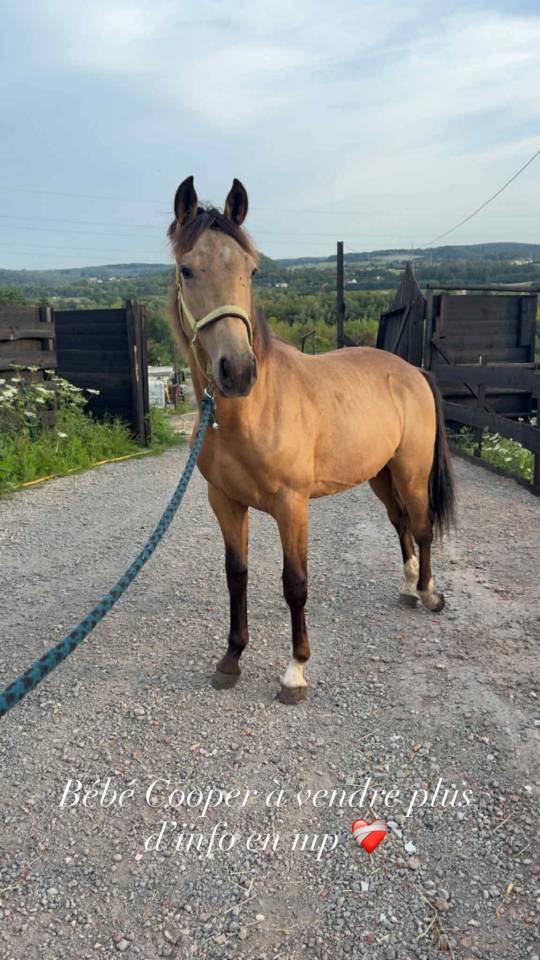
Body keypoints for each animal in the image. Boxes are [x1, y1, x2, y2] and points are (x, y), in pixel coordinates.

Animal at [168, 176, 456, 704]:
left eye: (252, 270)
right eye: (187, 269)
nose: (238, 371)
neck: (252, 412)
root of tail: (411, 371)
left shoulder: (291, 504)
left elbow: (295, 583)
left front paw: (295, 671)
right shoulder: (225, 502)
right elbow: (236, 575)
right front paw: (231, 659)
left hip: (411, 471)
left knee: (423, 527)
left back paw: (428, 592)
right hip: (380, 475)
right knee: (401, 524)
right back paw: (408, 587)